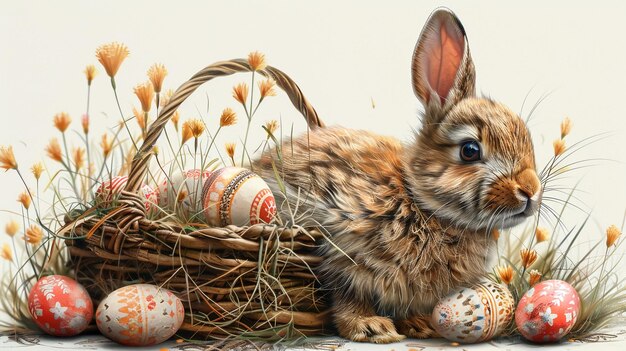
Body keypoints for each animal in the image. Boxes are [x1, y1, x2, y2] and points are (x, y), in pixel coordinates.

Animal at [254, 6, 540, 346]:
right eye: (470, 150)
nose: (530, 190)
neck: (422, 203)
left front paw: (420, 324)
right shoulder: (338, 245)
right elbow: (346, 294)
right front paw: (371, 328)